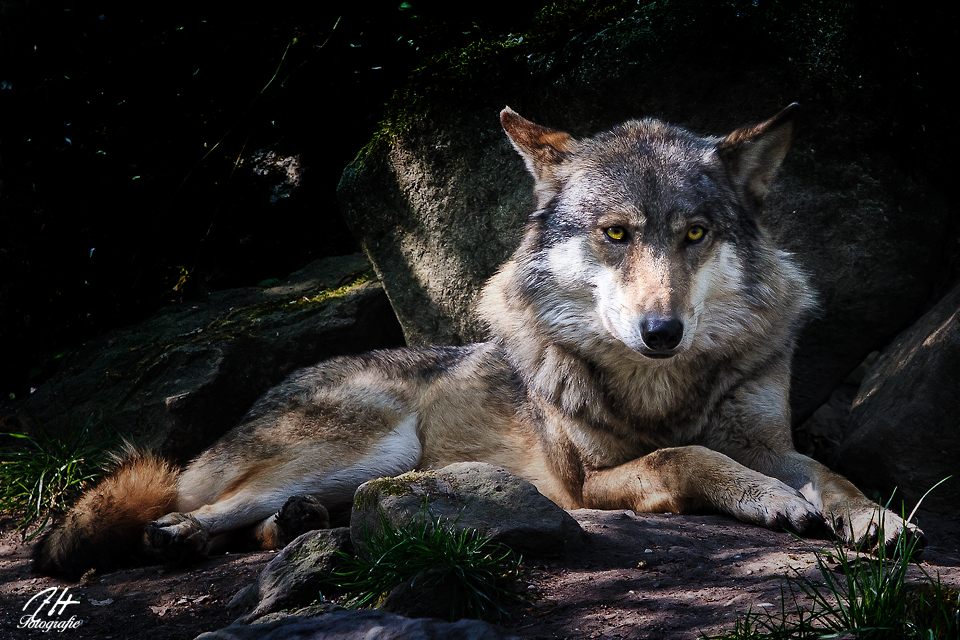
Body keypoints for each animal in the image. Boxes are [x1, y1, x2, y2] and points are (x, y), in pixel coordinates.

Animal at [35, 104, 924, 576]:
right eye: (616, 233)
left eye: (695, 234)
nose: (662, 331)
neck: (657, 388)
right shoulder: (586, 483)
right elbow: (689, 456)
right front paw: (771, 501)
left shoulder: (770, 439)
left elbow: (832, 474)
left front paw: (877, 518)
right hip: (364, 445)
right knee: (195, 504)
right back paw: (183, 532)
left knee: (261, 522)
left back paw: (295, 525)